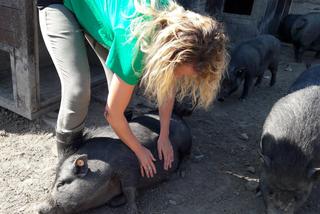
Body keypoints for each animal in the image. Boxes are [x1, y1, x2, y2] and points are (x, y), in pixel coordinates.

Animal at [37, 113, 192, 213]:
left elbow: (129, 191)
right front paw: (114, 203)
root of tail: (179, 117)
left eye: (61, 184)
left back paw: (180, 173)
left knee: (187, 155)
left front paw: (131, 211)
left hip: (185, 141)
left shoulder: (129, 167)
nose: (39, 208)